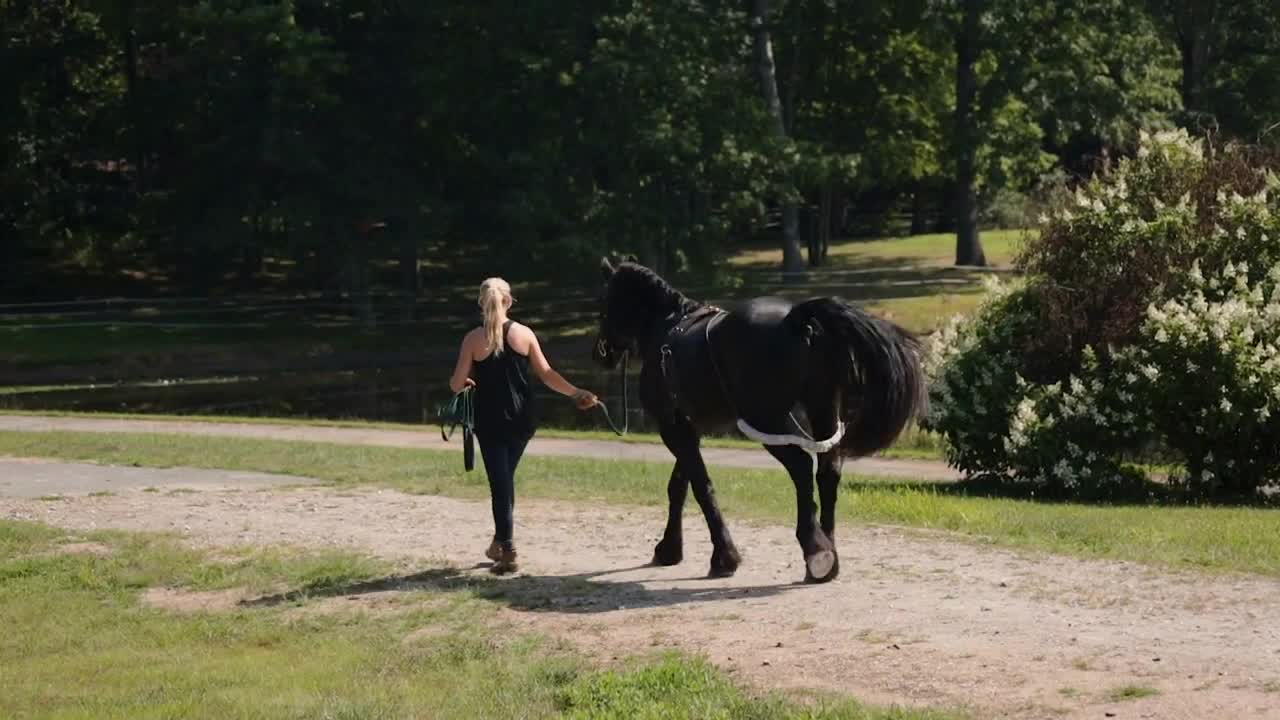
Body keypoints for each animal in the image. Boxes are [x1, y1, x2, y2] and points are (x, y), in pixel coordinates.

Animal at [593, 257, 926, 584]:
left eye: (605, 304)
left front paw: (723, 556)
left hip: (769, 421)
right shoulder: (689, 427)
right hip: (820, 410)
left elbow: (700, 487)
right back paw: (826, 555)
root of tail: (796, 320)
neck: (667, 326)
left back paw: (815, 549)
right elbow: (680, 486)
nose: (601, 354)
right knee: (828, 471)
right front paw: (670, 549)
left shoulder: (671, 428)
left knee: (802, 467)